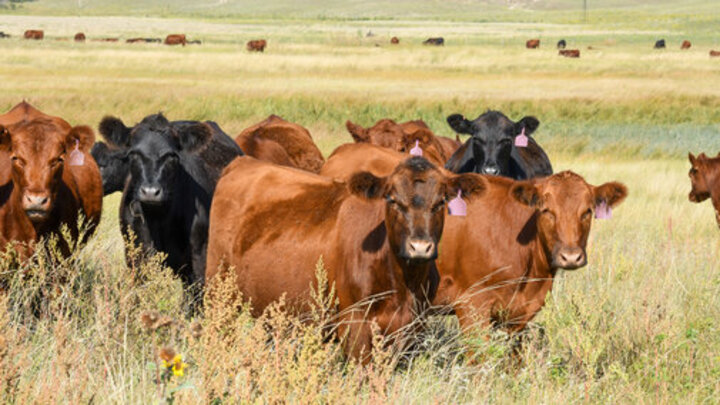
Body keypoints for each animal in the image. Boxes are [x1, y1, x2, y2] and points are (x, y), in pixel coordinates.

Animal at [98, 114, 242, 286]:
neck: (158, 218)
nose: (150, 192)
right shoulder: (136, 257)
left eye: (171, 156)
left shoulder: (199, 259)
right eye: (133, 153)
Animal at [206, 156, 484, 362]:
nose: (419, 247)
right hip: (220, 296)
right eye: (392, 200)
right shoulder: (354, 324)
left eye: (440, 202)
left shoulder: (412, 327)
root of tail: (242, 161)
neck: (402, 284)